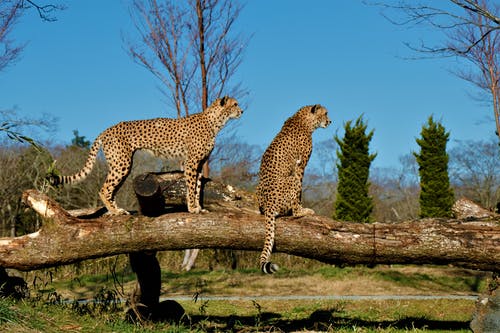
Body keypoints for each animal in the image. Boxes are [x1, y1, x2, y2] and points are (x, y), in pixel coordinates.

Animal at [48, 96, 242, 215]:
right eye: (235, 104)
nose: (242, 111)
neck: (215, 122)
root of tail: (107, 129)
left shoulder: (200, 163)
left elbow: (198, 186)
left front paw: (199, 208)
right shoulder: (191, 162)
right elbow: (191, 185)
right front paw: (193, 208)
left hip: (121, 165)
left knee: (111, 189)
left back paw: (116, 210)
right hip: (122, 163)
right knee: (104, 188)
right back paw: (115, 211)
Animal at [258, 104, 332, 272]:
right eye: (325, 113)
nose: (330, 121)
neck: (304, 119)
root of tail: (268, 205)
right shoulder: (300, 166)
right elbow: (299, 193)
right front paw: (301, 206)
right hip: (290, 179)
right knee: (294, 211)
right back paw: (305, 211)